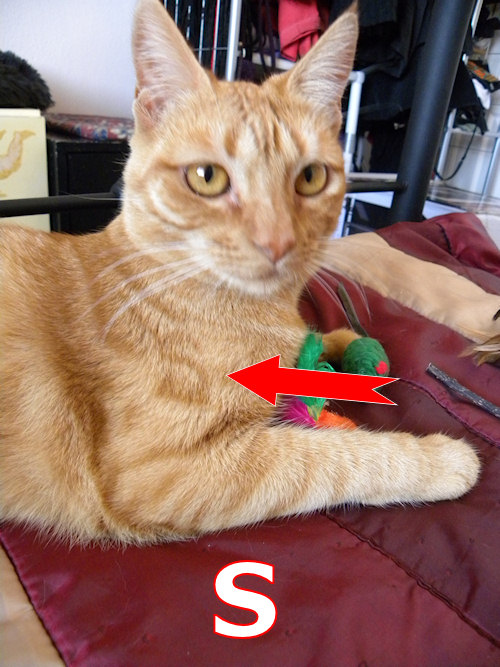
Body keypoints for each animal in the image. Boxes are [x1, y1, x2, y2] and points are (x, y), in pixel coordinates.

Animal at [0, 0, 480, 545]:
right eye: (206, 177)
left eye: (311, 177)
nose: (277, 241)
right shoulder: (162, 474)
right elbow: (328, 458)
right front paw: (439, 460)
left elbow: (312, 340)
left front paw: (339, 340)